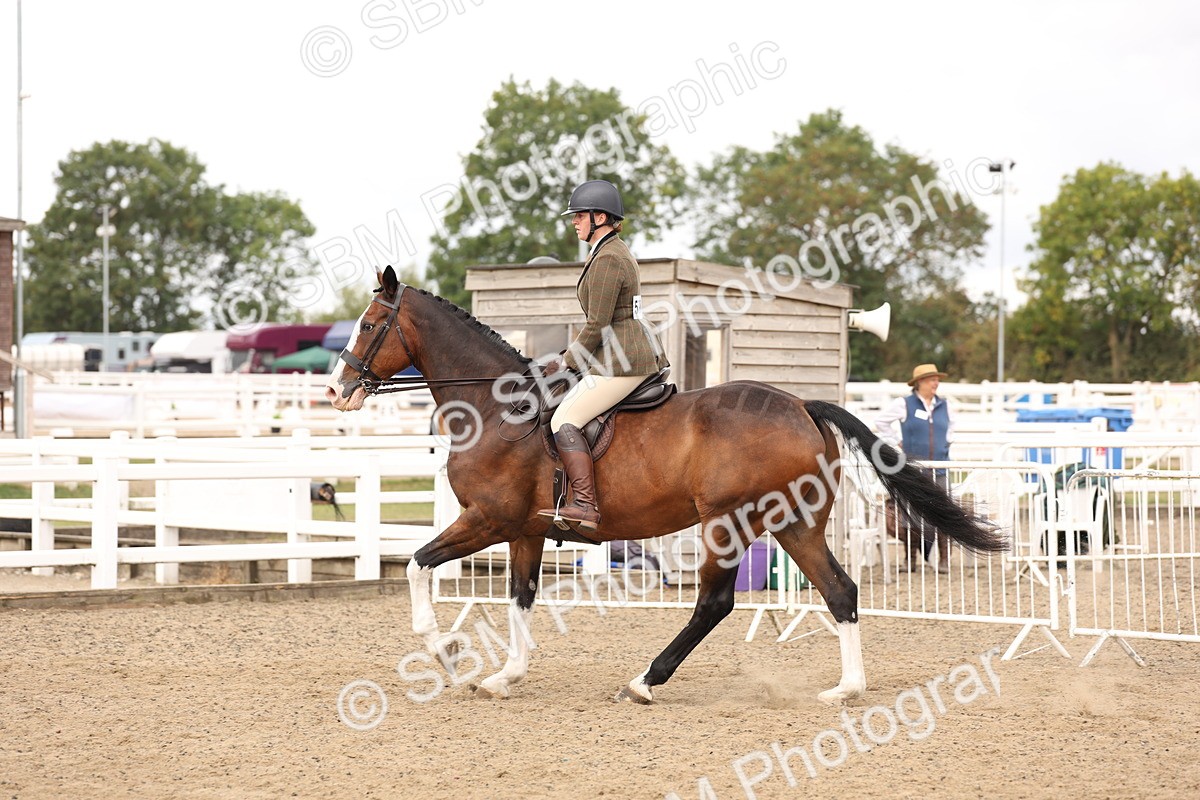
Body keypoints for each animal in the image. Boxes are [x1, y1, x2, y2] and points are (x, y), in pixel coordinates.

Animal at [325, 266, 1006, 705]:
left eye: (369, 324)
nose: (335, 390)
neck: (498, 408)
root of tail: (800, 405)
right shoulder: (524, 529)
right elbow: (520, 598)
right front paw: (504, 676)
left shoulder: (488, 519)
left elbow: (417, 566)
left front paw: (447, 656)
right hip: (794, 524)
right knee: (840, 591)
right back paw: (846, 688)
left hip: (728, 522)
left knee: (715, 602)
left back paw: (645, 682)